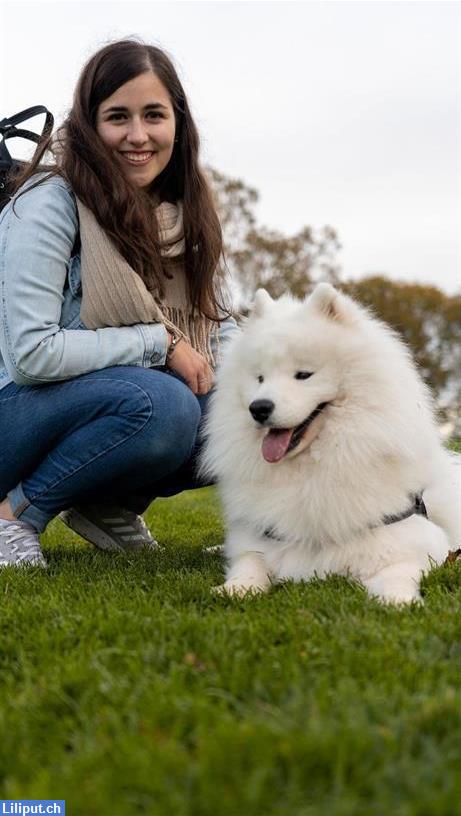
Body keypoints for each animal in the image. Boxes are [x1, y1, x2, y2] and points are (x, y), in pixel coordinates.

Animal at [202, 284, 460, 604]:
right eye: (260, 378)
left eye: (303, 375)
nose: (258, 408)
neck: (315, 467)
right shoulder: (258, 538)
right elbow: (249, 562)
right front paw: (233, 589)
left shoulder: (411, 541)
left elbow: (397, 575)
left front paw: (400, 601)